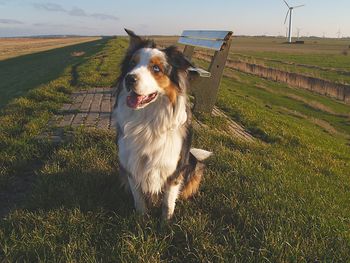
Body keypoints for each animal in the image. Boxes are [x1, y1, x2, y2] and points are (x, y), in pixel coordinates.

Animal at [113, 28, 212, 221]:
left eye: (156, 68)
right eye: (132, 64)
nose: (129, 79)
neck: (146, 121)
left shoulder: (173, 169)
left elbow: (167, 203)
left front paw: (165, 224)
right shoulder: (131, 164)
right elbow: (138, 198)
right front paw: (140, 220)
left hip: (194, 166)